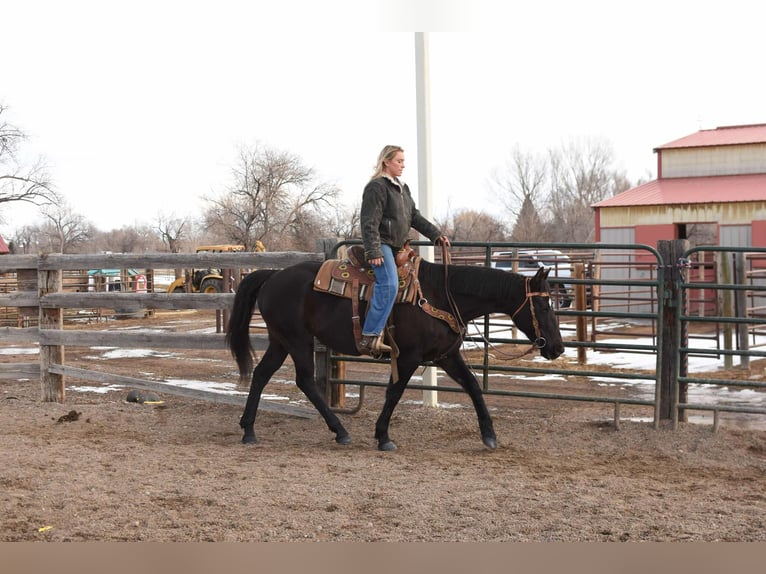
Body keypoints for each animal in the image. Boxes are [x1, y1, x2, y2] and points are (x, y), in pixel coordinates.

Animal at [226, 257, 565, 451]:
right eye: (544, 305)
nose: (558, 347)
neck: (442, 295)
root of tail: (272, 275)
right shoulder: (408, 356)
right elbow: (395, 391)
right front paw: (383, 436)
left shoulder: (446, 356)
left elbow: (472, 387)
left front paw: (489, 435)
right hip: (297, 340)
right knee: (305, 381)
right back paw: (340, 431)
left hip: (280, 340)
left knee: (262, 374)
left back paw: (248, 430)